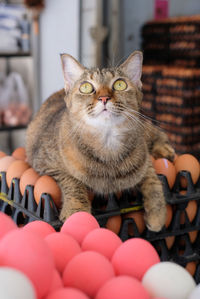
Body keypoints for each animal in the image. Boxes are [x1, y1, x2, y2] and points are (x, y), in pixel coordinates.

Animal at [25, 51, 174, 232]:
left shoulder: (144, 162)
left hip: (143, 126)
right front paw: (77, 212)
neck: (107, 143)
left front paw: (157, 213)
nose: (104, 98)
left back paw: (165, 150)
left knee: (157, 134)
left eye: (119, 84)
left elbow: (153, 180)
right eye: (86, 87)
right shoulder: (44, 163)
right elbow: (73, 181)